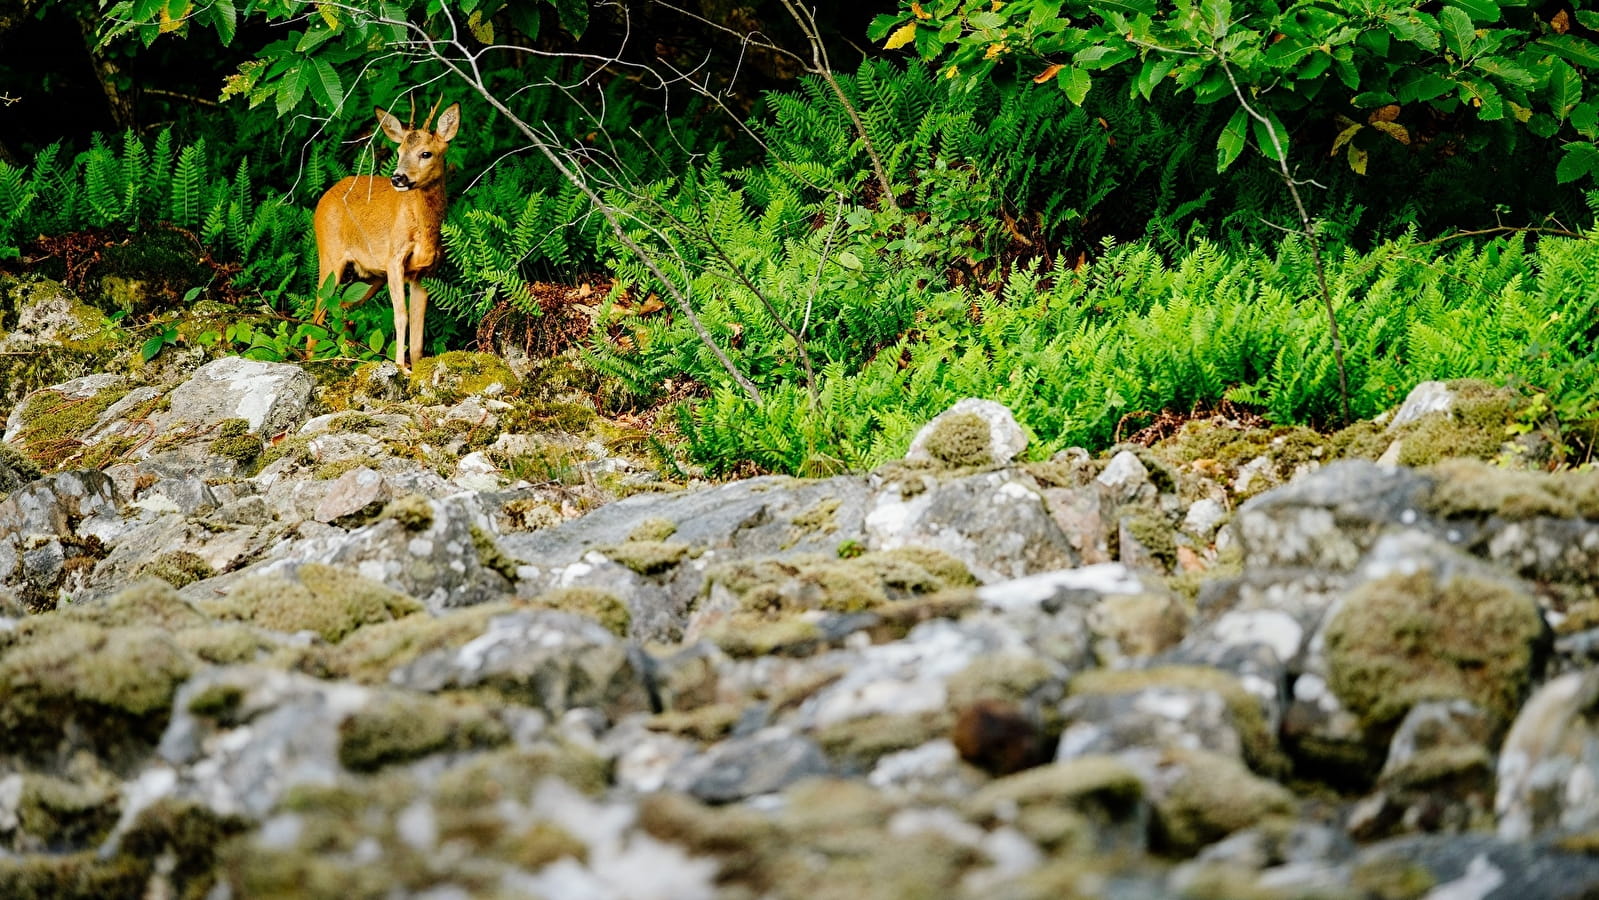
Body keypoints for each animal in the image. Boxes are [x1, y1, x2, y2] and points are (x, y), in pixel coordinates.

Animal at [313, 104, 460, 369]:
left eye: (426, 153)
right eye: (399, 151)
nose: (398, 178)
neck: (424, 232)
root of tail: (324, 197)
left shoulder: (425, 273)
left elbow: (418, 327)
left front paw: (416, 366)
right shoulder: (394, 258)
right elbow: (401, 315)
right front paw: (401, 367)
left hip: (371, 276)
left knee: (344, 308)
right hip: (329, 254)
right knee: (318, 312)